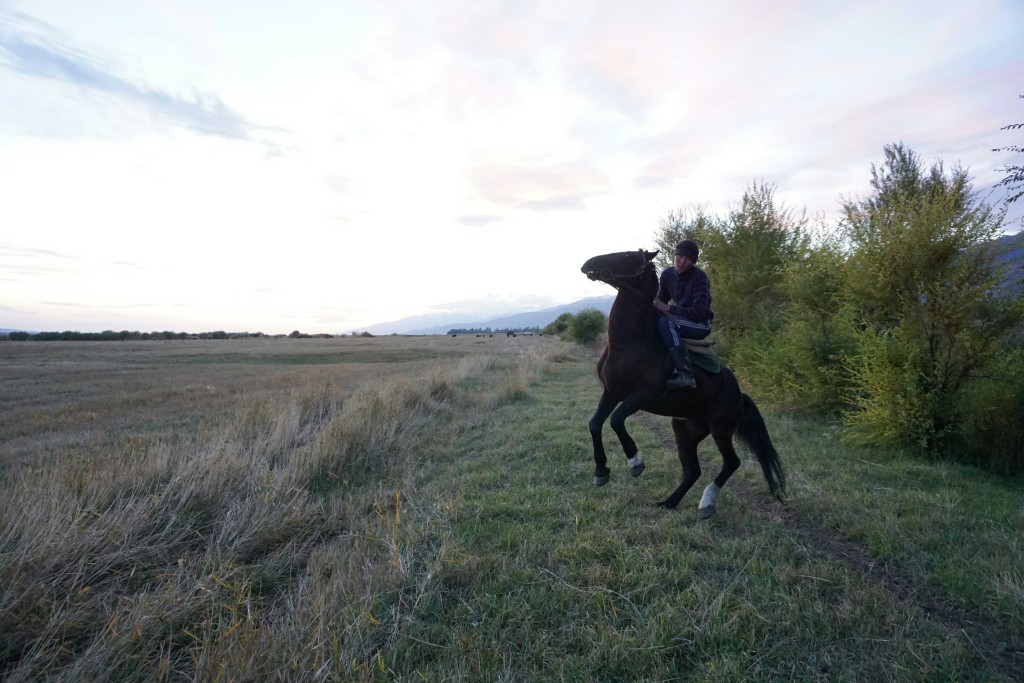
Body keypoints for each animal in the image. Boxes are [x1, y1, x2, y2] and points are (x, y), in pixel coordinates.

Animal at [581, 248, 786, 520]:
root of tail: (740, 395)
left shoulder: (641, 395)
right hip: (685, 430)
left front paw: (635, 462)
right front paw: (601, 472)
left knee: (731, 462)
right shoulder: (612, 392)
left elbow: (615, 420)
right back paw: (668, 503)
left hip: (720, 429)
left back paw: (706, 504)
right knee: (692, 470)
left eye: (627, 256)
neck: (631, 343)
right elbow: (595, 424)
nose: (588, 264)